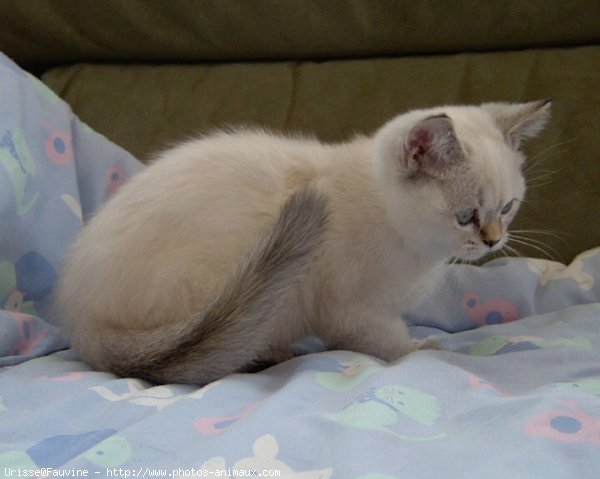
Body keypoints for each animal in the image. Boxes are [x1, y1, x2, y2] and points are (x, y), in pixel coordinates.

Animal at [58, 101, 552, 386]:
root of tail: (82, 319)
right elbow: (387, 340)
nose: (493, 240)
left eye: (507, 207)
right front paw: (420, 350)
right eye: (467, 215)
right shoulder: (352, 307)